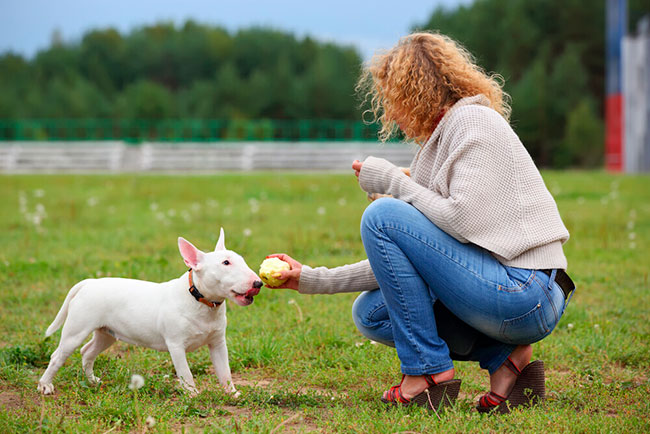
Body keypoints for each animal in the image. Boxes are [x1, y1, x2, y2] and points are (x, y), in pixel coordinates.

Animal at [37, 231, 260, 396]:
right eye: (225, 263)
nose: (258, 283)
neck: (201, 301)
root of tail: (89, 283)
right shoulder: (176, 345)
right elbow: (186, 373)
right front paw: (193, 395)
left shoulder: (218, 343)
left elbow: (225, 371)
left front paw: (232, 394)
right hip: (77, 329)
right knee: (58, 355)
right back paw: (45, 385)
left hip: (106, 333)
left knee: (87, 351)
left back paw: (92, 381)